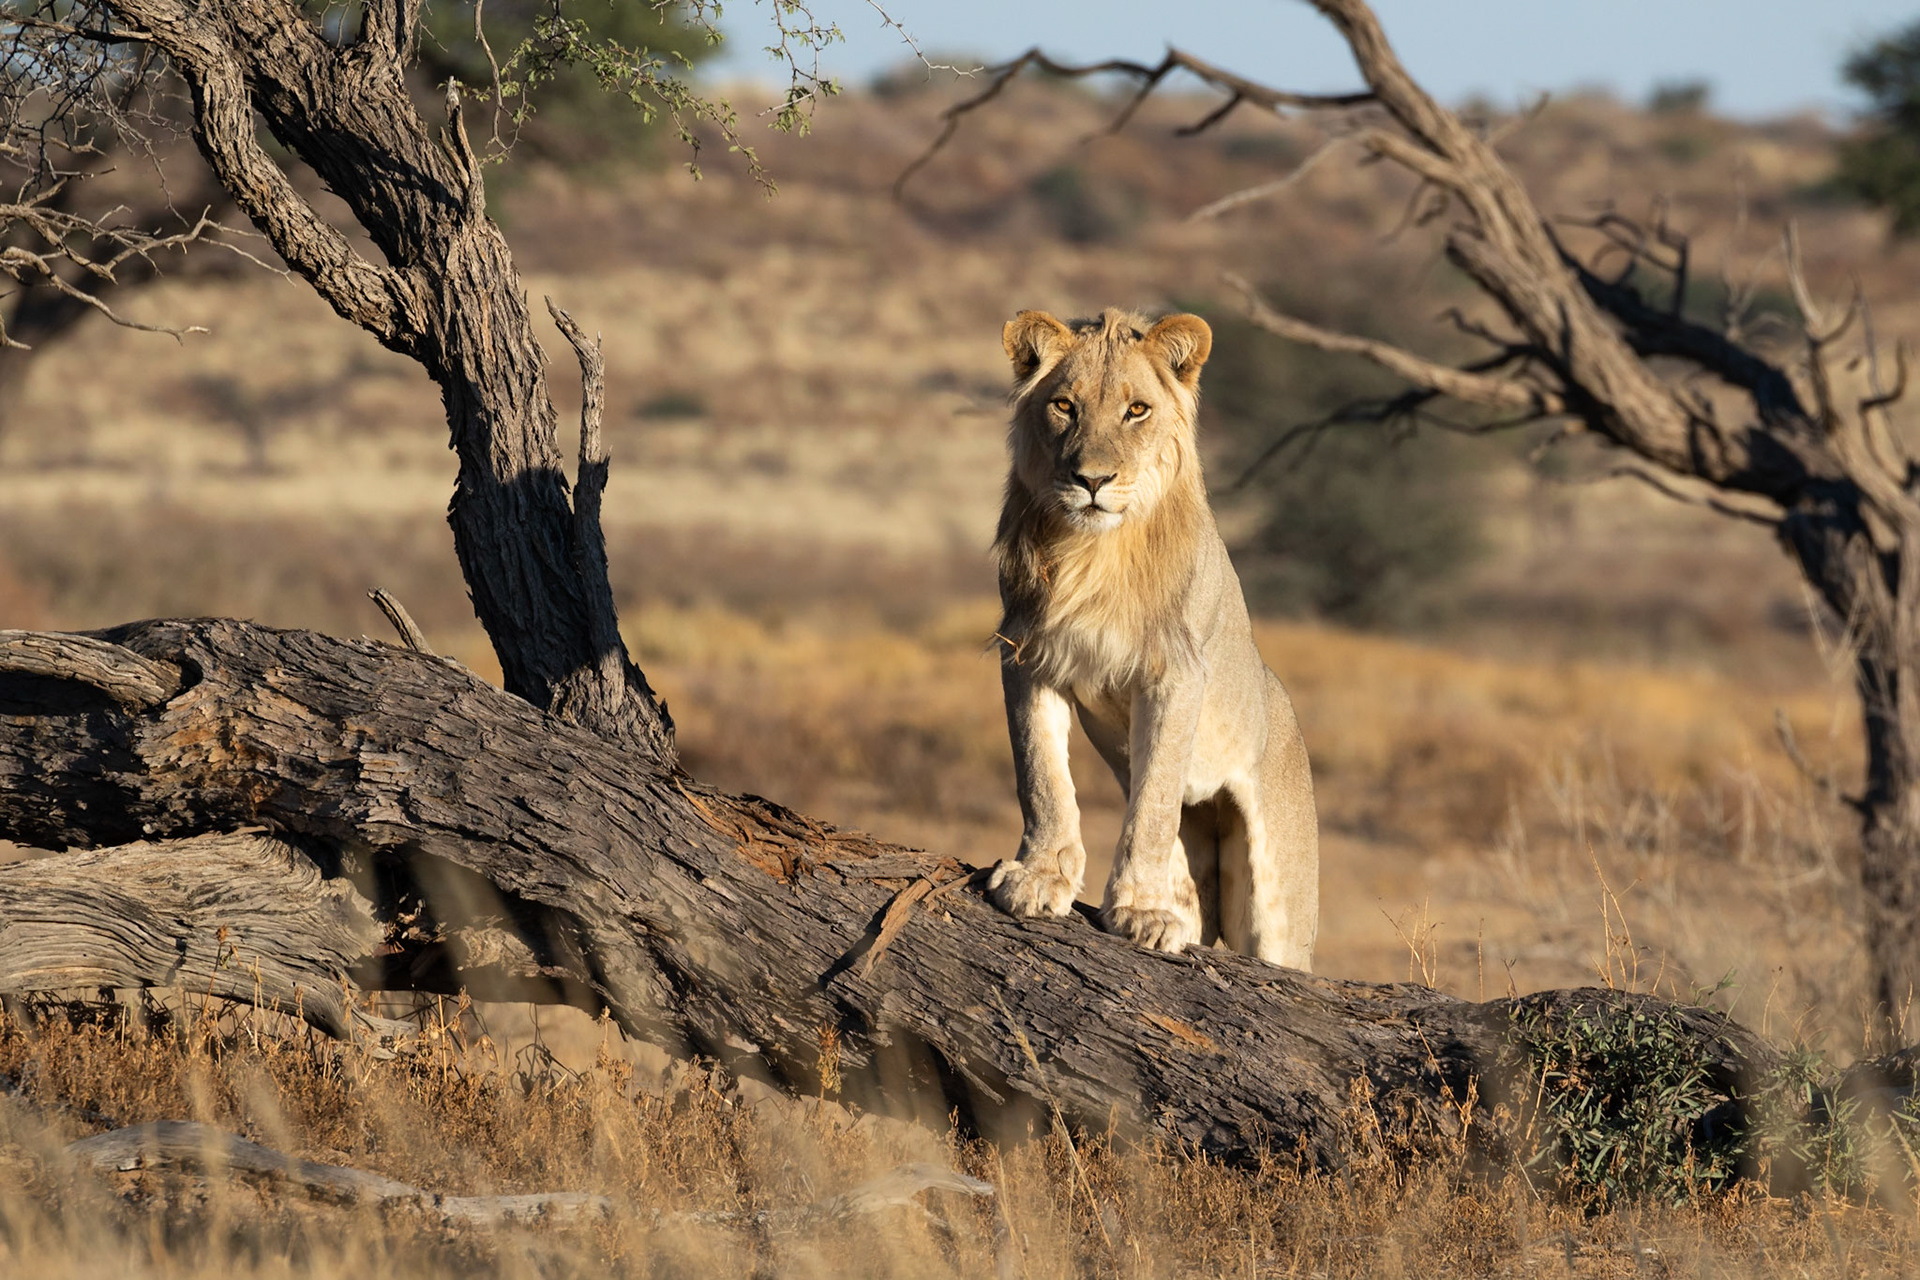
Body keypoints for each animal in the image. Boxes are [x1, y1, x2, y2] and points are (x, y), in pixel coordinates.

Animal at [985, 307, 1319, 968]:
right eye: (1064, 405)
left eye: (1136, 410)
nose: (1091, 479)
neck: (1091, 551)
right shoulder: (1028, 655)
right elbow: (1041, 776)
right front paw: (1039, 878)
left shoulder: (1176, 671)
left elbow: (1154, 802)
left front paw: (1139, 910)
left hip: (1280, 904)